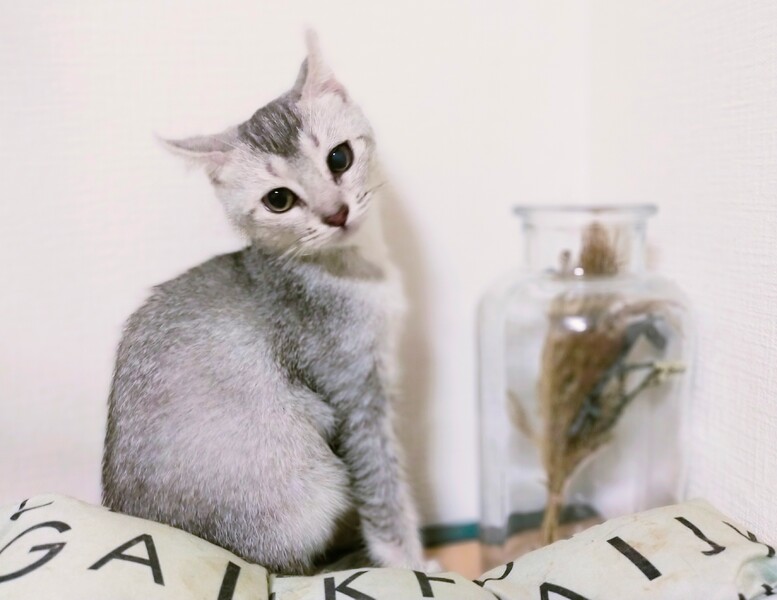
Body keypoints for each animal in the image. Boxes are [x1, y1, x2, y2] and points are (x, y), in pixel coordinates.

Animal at [101, 32, 425, 575]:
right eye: (279, 200)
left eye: (340, 158)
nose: (336, 213)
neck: (356, 268)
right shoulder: (355, 394)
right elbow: (385, 492)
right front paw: (414, 566)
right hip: (314, 482)